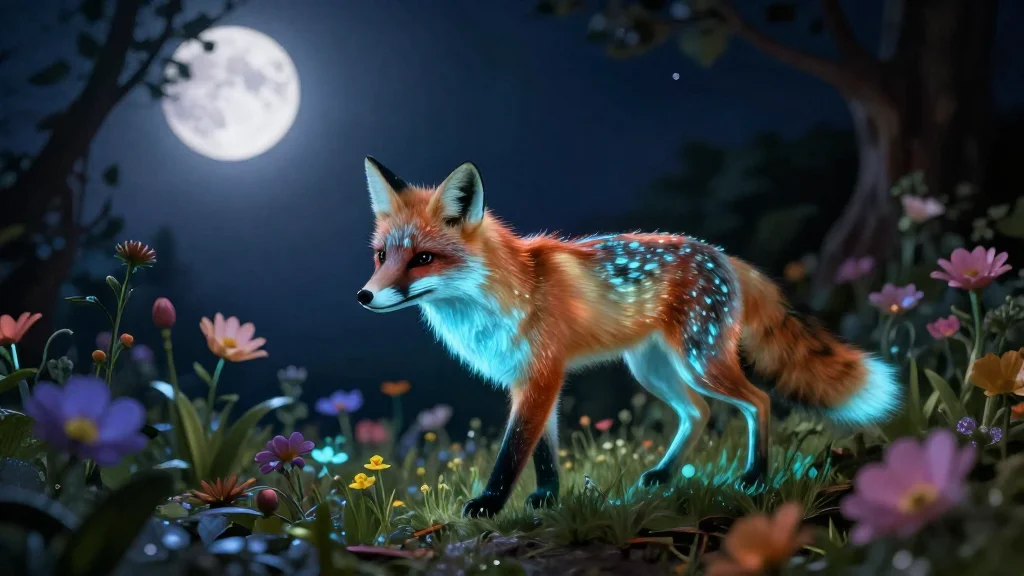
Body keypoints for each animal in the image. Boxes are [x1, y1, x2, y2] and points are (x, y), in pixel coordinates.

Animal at [356, 157, 902, 518]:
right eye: (383, 256)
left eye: (424, 258)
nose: (364, 296)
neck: (502, 295)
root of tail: (723, 254)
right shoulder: (531, 381)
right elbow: (544, 452)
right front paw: (548, 498)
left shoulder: (541, 374)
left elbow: (513, 451)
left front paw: (490, 504)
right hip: (654, 370)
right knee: (699, 413)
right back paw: (663, 476)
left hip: (700, 363)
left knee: (758, 401)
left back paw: (754, 477)